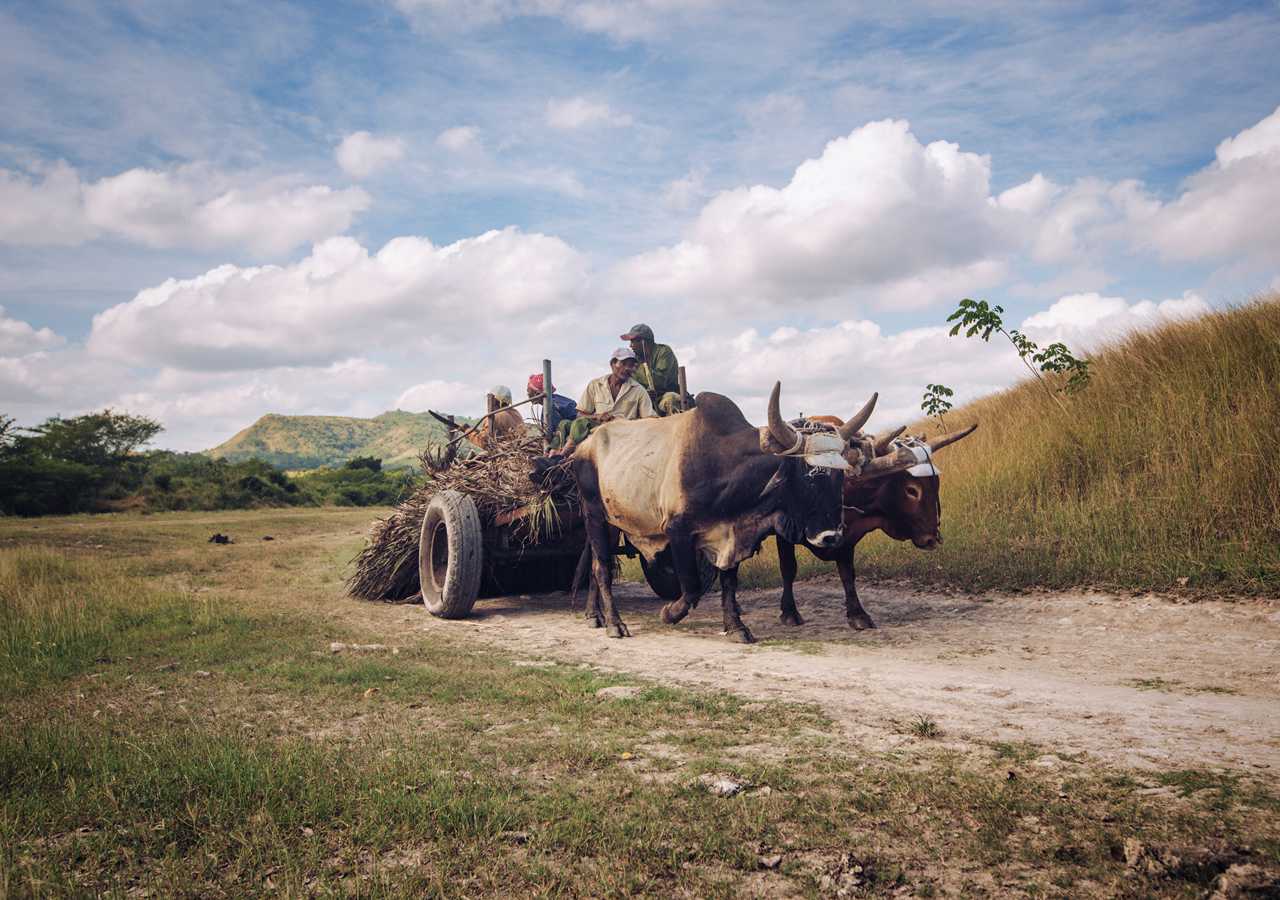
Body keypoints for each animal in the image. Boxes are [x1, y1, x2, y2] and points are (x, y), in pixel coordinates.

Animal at [570, 382, 879, 643]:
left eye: (840, 477)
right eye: (808, 475)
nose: (831, 537)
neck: (722, 465)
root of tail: (585, 445)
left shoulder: (731, 534)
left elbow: (729, 582)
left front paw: (736, 627)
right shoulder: (677, 531)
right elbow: (692, 587)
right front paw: (669, 613)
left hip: (612, 522)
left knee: (597, 566)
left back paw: (594, 615)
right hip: (594, 515)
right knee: (602, 568)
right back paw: (614, 623)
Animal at [775, 419, 978, 630]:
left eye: (936, 484)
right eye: (911, 490)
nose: (932, 539)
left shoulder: (847, 537)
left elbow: (847, 573)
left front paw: (857, 614)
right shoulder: (783, 531)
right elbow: (788, 568)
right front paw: (789, 612)